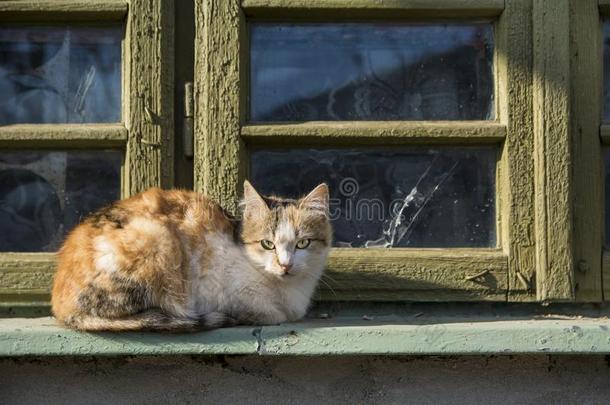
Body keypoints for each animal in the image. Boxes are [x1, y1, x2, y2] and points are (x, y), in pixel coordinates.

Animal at [50, 181, 330, 332]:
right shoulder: (222, 288)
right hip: (158, 240)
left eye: (303, 243)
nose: (285, 265)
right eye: (267, 244)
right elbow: (270, 314)